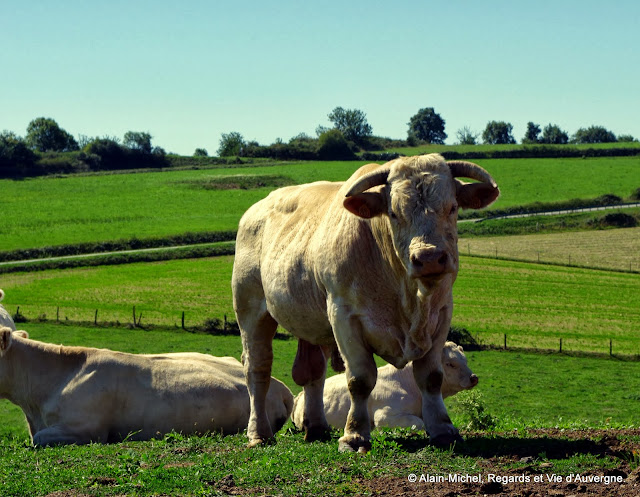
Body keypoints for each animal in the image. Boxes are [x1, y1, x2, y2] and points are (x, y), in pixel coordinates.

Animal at [290, 340, 476, 430]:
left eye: (465, 360)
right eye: (450, 364)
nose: (473, 377)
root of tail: (299, 395)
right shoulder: (384, 415)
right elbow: (419, 423)